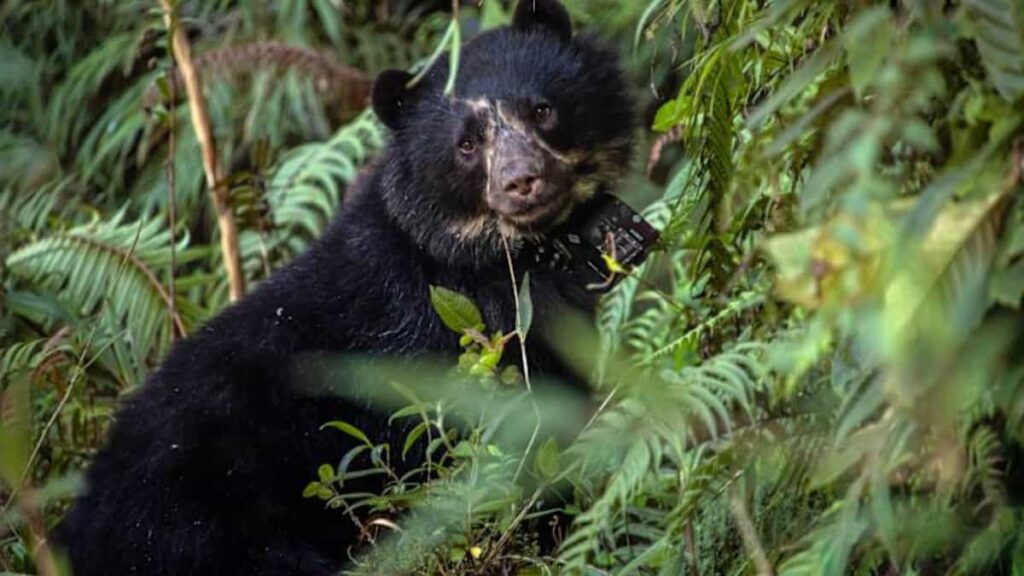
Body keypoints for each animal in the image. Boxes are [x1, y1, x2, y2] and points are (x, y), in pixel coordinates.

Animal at [56, 2, 634, 569]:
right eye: (467, 145)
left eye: (542, 110)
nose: (522, 182)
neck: (506, 253)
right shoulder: (461, 341)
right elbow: (531, 438)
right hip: (207, 524)